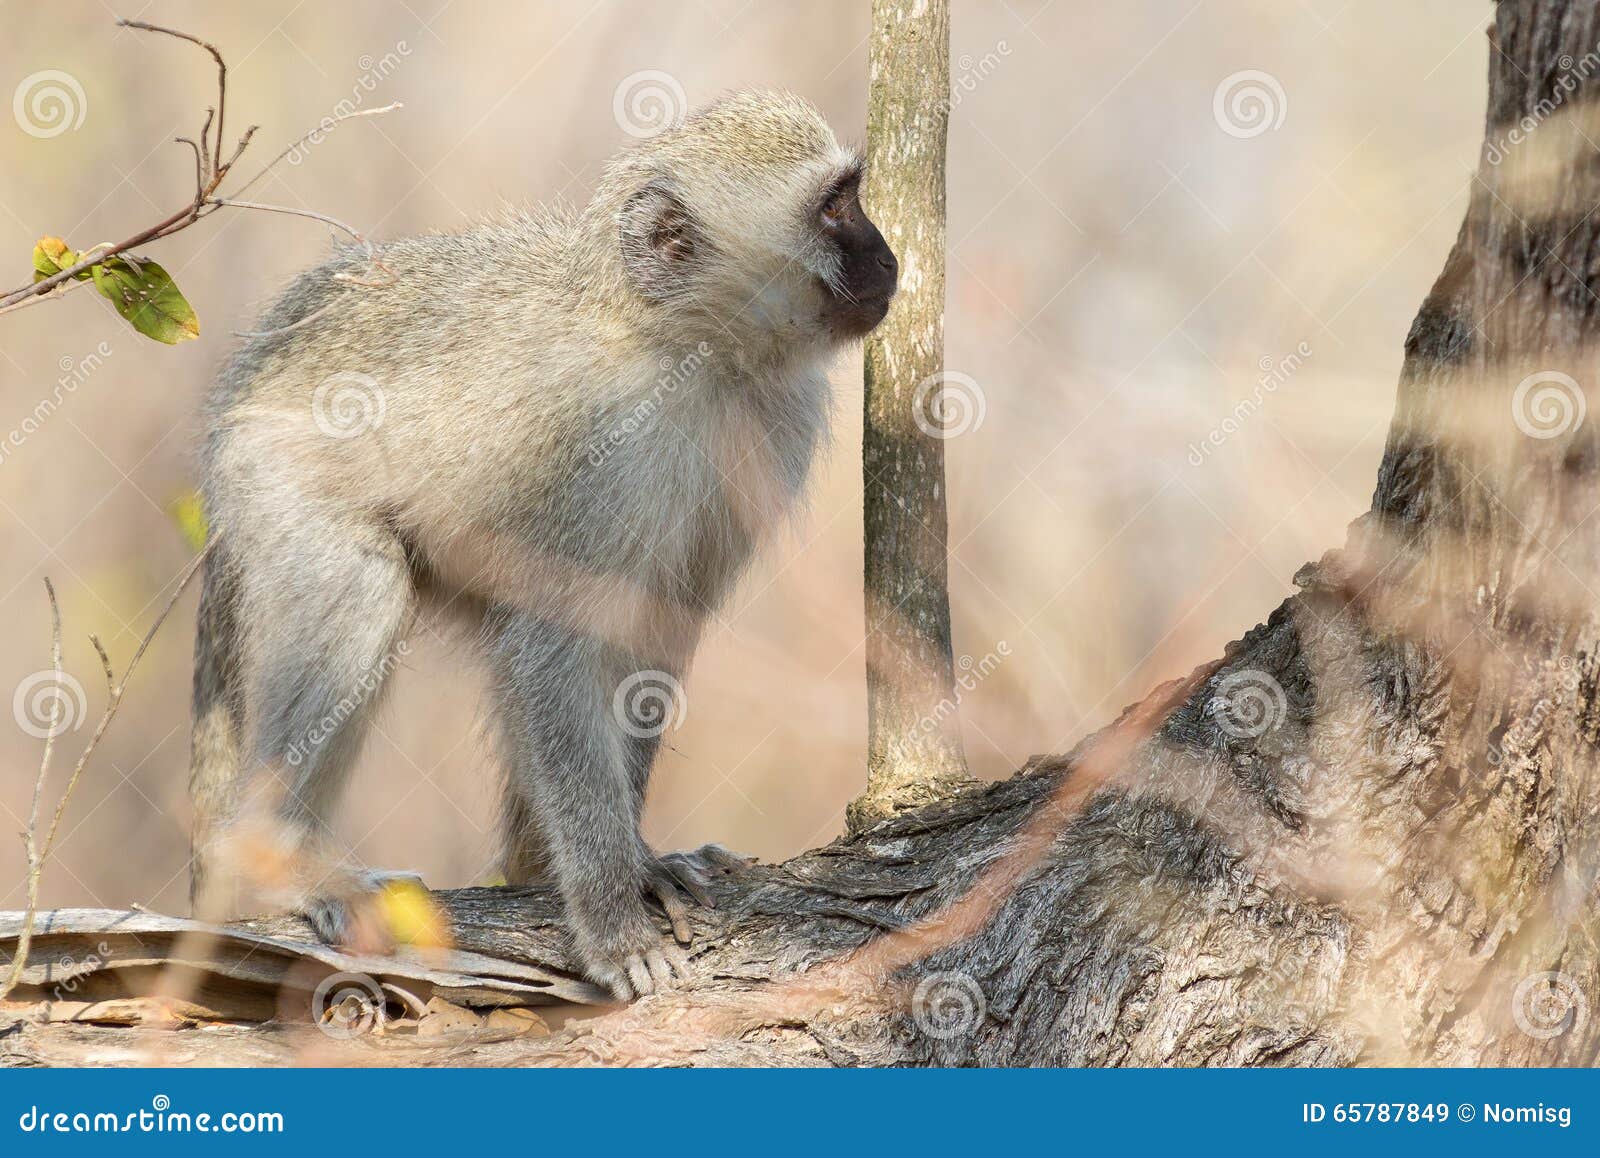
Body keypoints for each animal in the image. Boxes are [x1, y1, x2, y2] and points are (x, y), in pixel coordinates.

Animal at [187, 90, 902, 998]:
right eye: (835, 207)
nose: (886, 258)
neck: (686, 349)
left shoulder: (770, 427)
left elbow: (646, 636)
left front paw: (638, 864)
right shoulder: (597, 446)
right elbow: (556, 644)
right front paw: (612, 924)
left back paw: (528, 862)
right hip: (273, 477)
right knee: (360, 592)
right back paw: (273, 860)